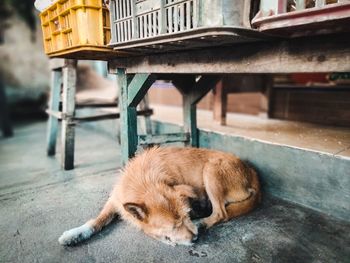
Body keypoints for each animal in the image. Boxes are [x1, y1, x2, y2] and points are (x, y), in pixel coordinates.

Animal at [58, 147, 260, 246]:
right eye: (172, 226)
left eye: (185, 217)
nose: (195, 239)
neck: (144, 179)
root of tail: (251, 170)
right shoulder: (115, 200)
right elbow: (97, 220)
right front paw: (75, 234)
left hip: (210, 169)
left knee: (221, 213)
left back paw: (202, 222)